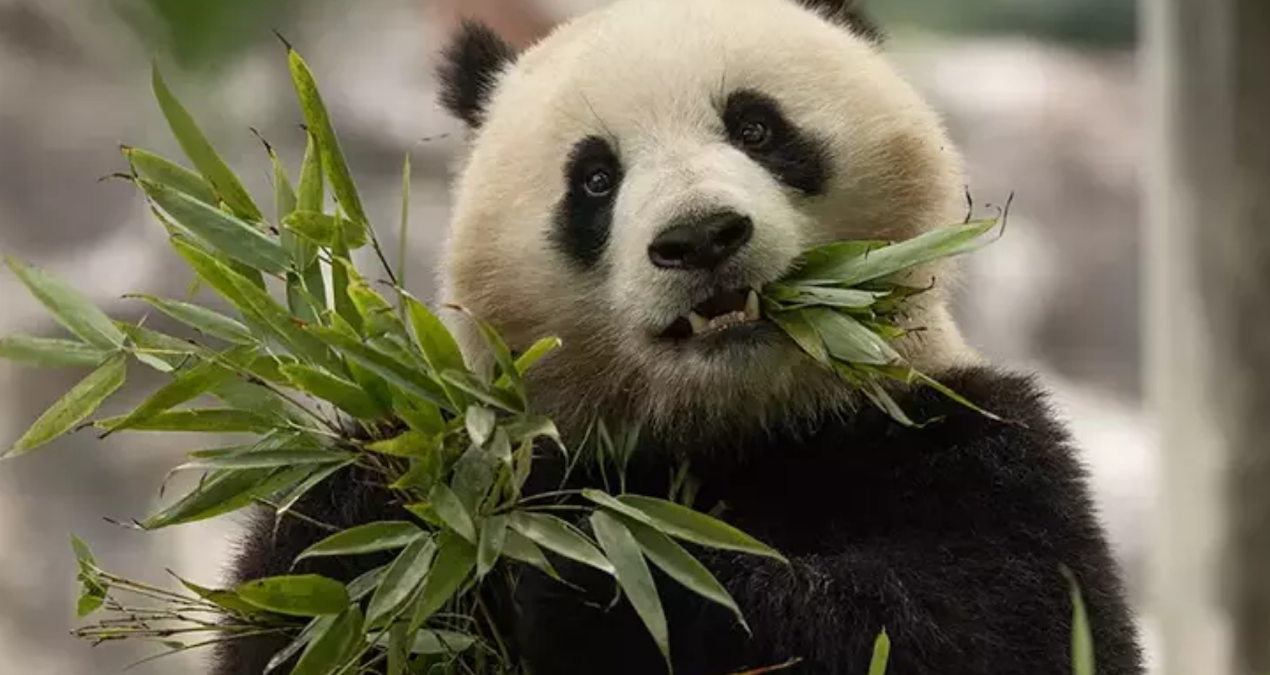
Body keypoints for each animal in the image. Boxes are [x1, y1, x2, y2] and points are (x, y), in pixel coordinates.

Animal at [213, 0, 1146, 673]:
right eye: (594, 178)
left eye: (757, 127)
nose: (700, 237)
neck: (732, 424)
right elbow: (312, 591)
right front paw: (392, 500)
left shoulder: (972, 447)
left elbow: (973, 627)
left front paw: (602, 571)